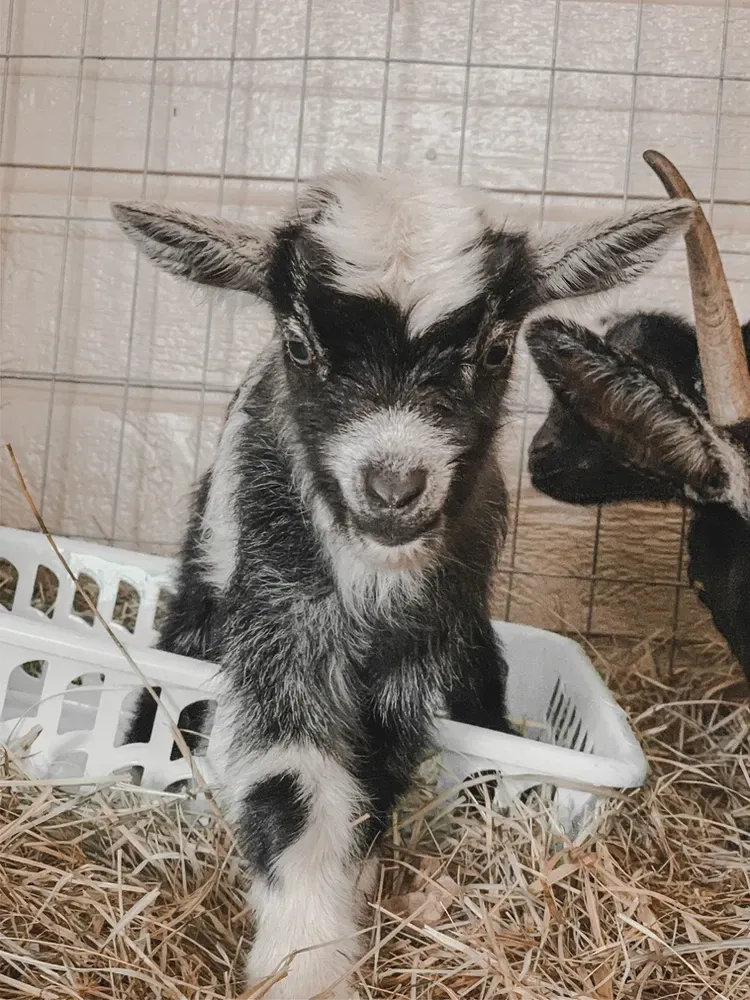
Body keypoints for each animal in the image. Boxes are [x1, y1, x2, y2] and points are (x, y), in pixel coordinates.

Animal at [112, 171, 691, 999]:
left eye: (497, 348)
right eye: (299, 345)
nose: (392, 487)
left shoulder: (419, 655)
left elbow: (377, 783)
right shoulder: (282, 625)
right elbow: (292, 792)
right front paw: (306, 965)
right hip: (208, 572)